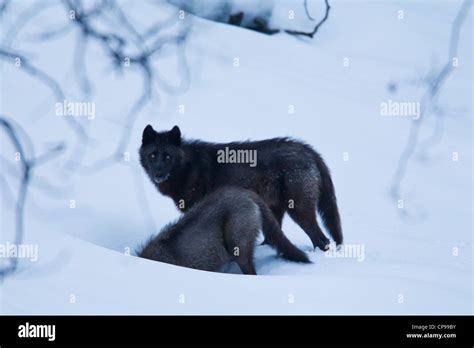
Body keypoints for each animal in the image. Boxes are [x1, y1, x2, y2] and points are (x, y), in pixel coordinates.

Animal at [139, 125, 342, 250]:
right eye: (152, 155)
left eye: (167, 157)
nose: (158, 174)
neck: (188, 167)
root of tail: (308, 150)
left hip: (299, 210)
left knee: (322, 240)